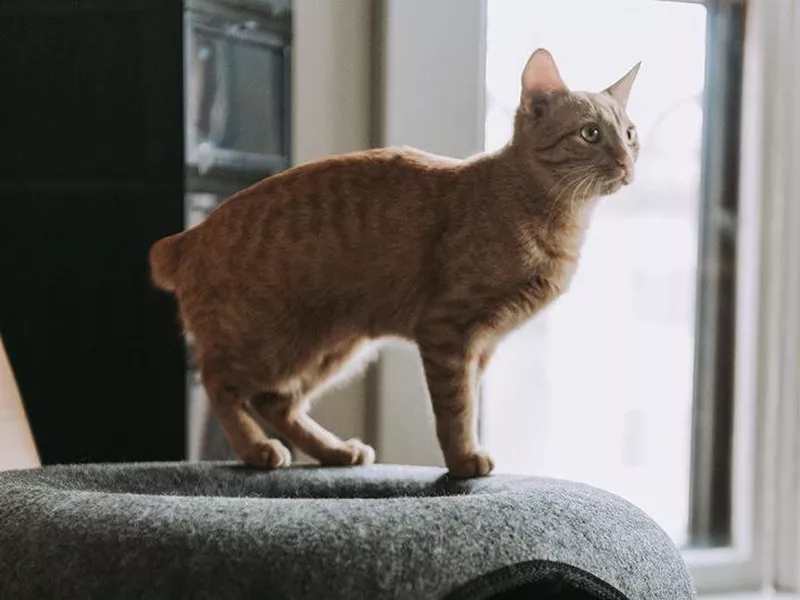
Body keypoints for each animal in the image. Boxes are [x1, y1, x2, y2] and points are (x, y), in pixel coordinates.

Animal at [148, 48, 636, 478]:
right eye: (591, 134)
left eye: (630, 133)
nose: (627, 162)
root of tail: (190, 235)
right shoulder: (448, 330)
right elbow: (456, 407)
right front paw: (463, 460)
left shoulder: (481, 346)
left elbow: (470, 398)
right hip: (265, 343)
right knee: (219, 384)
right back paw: (256, 448)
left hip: (330, 347)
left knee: (276, 401)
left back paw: (335, 451)